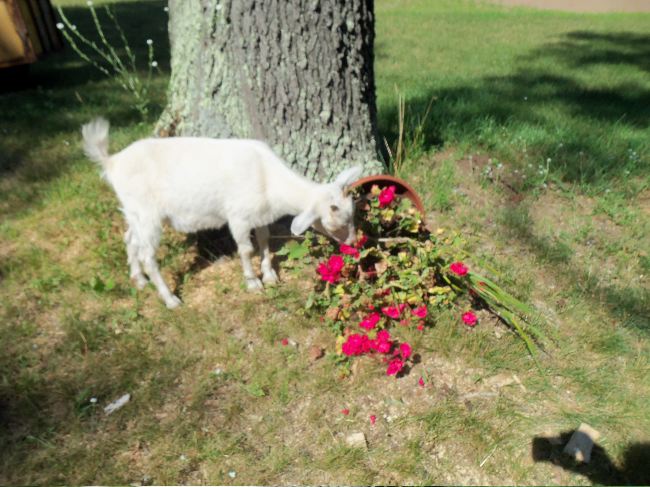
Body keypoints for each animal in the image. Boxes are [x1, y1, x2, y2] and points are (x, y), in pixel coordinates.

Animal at [81, 118, 363, 309]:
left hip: (134, 211)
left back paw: (138, 279)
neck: (267, 177)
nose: (354, 243)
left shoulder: (260, 214)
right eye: (335, 223)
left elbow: (264, 240)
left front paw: (270, 275)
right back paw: (170, 299)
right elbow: (246, 249)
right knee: (148, 255)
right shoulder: (238, 217)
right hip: (147, 214)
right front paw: (253, 282)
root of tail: (111, 162)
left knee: (130, 238)